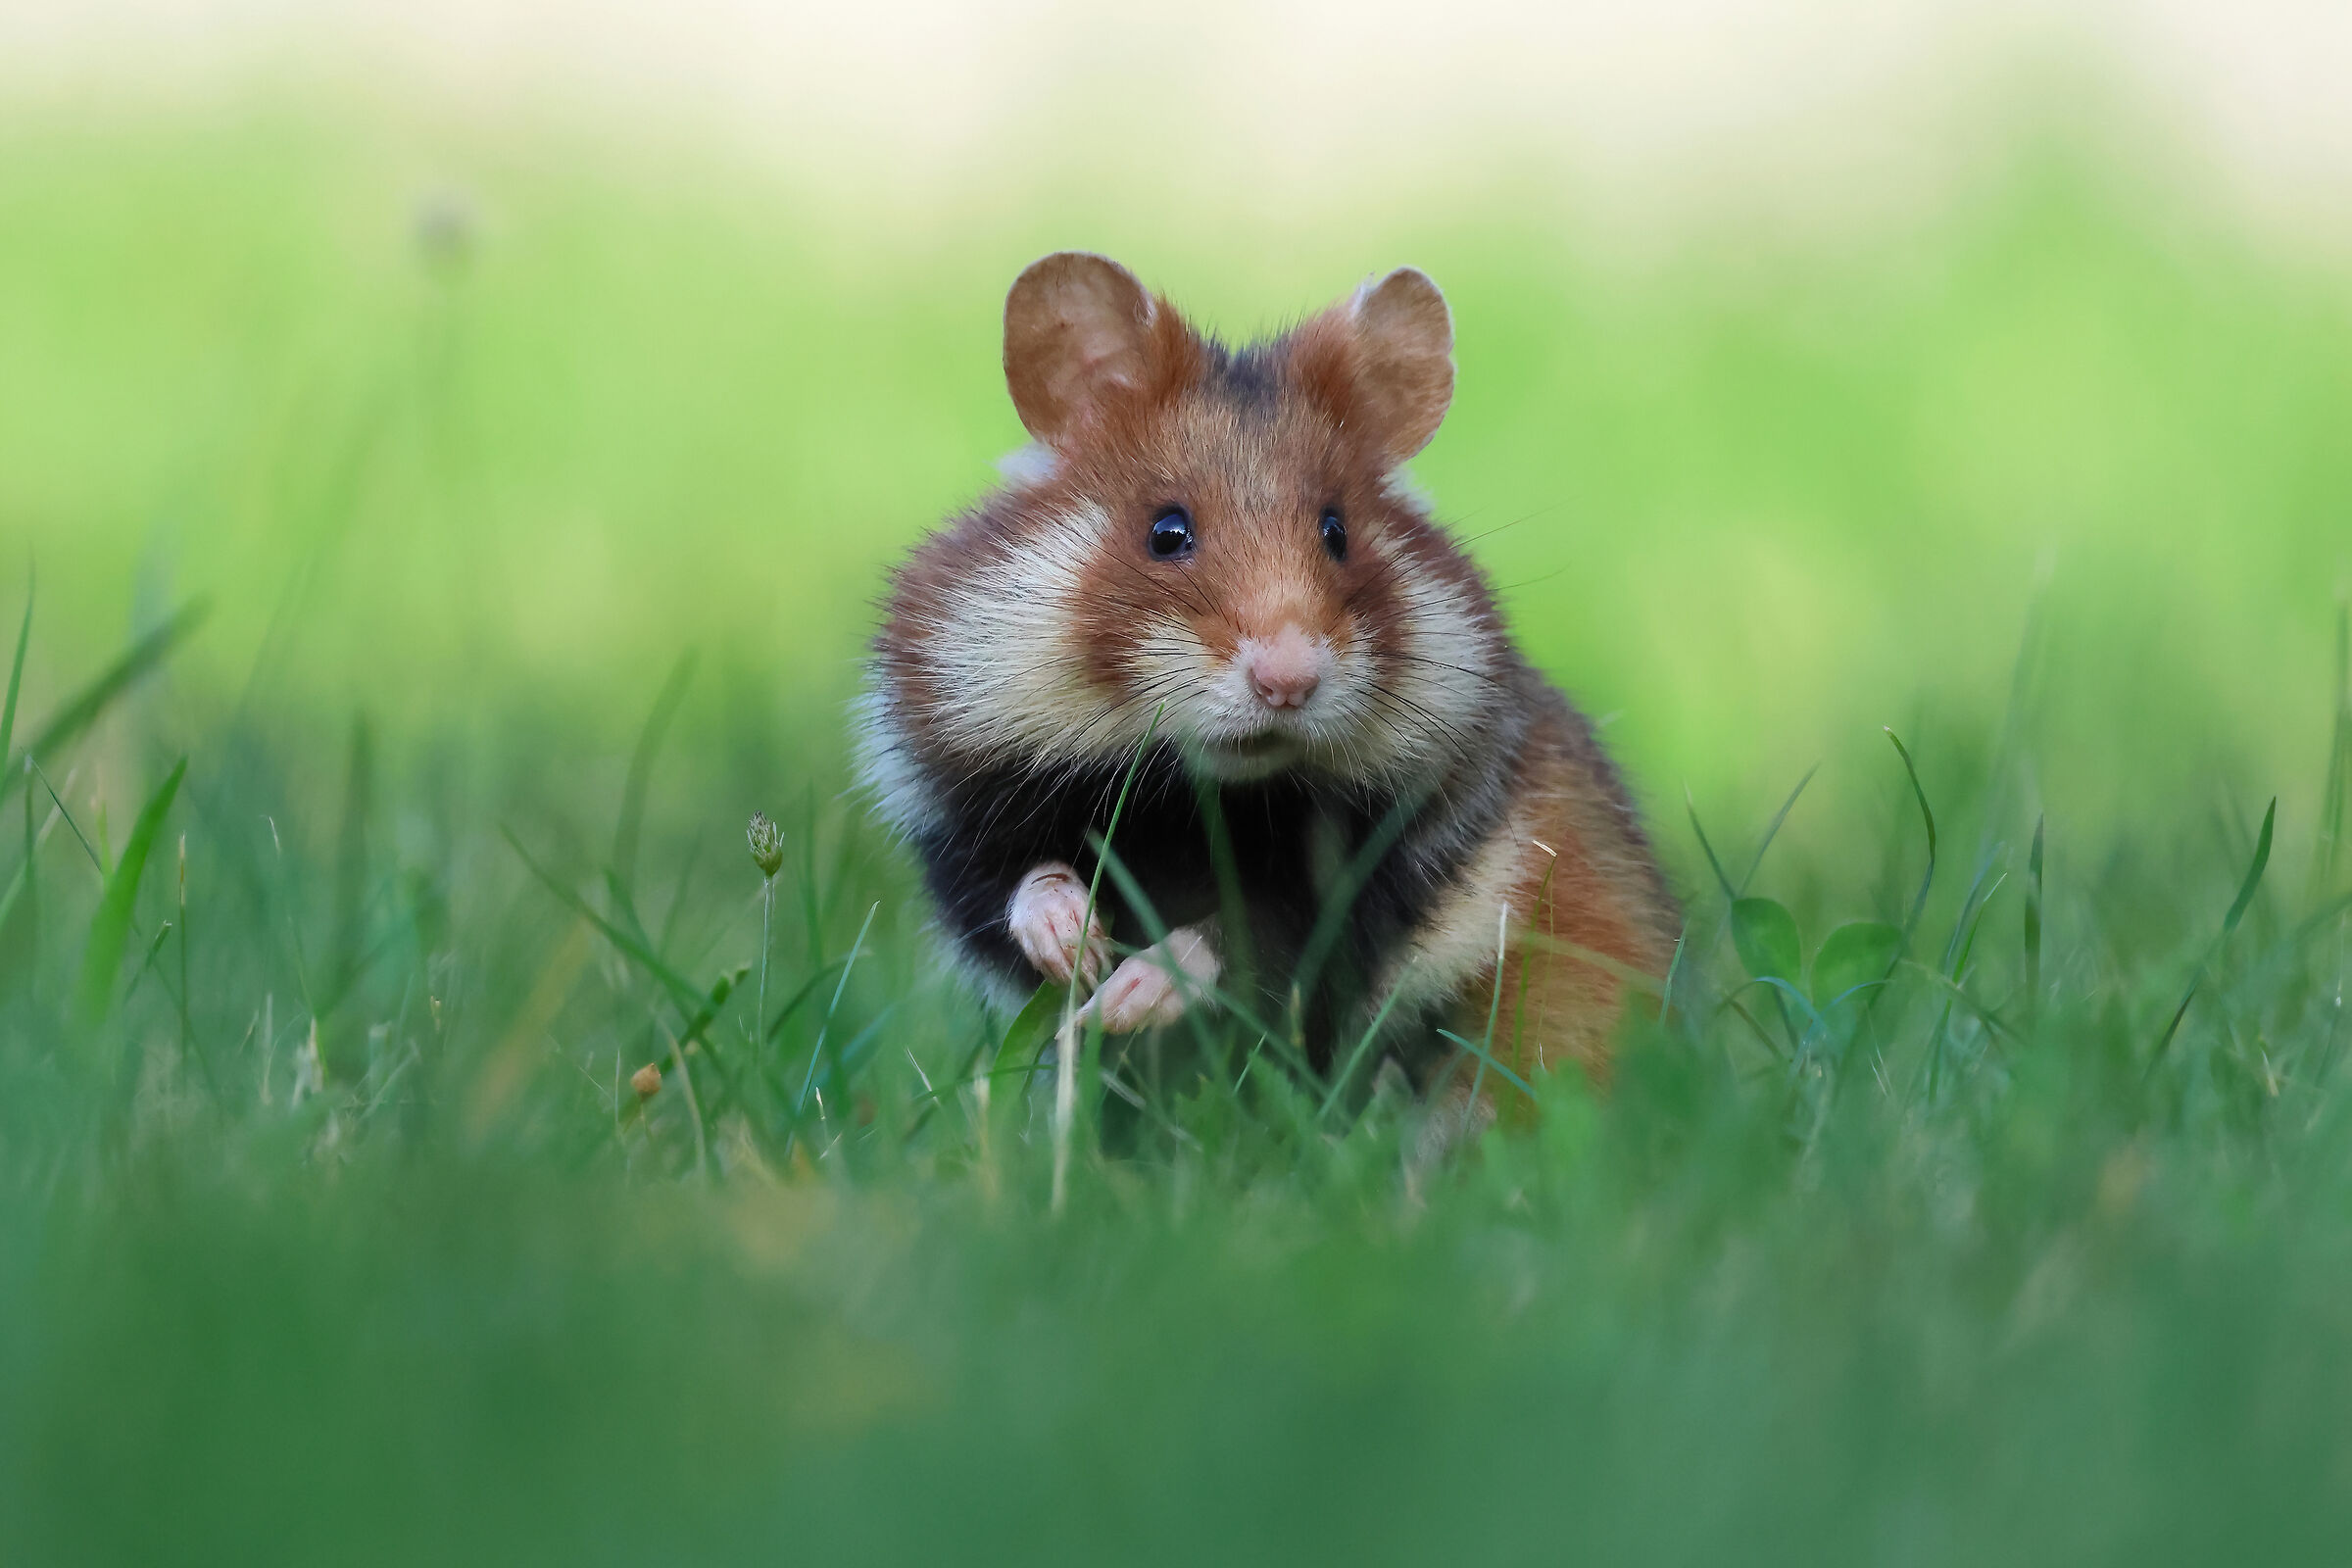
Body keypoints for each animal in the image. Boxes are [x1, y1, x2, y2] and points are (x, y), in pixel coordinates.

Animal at [858, 251, 1678, 1123]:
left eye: (1337, 531)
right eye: (1166, 531)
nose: (1289, 680)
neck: (1188, 794)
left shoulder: (1364, 879)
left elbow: (1246, 941)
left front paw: (1128, 996)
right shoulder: (963, 820)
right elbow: (1018, 886)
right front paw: (1077, 950)